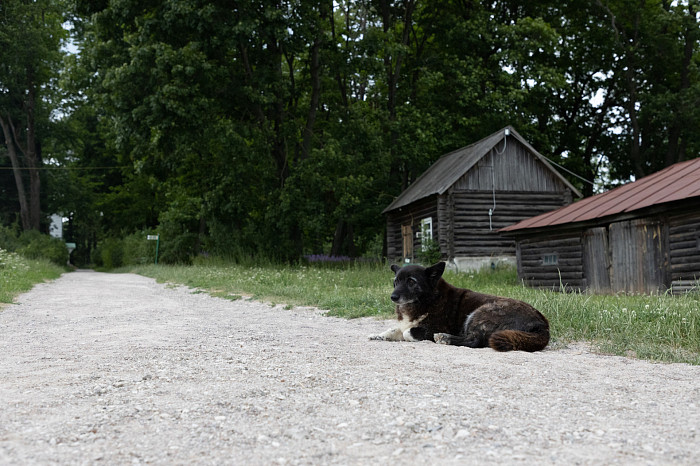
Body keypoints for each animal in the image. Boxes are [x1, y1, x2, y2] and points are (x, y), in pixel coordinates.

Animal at [370, 264, 548, 352]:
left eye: (411, 281)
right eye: (396, 282)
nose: (393, 297)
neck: (428, 298)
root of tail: (542, 325)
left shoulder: (432, 327)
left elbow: (407, 332)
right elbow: (395, 329)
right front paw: (379, 335)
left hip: (480, 312)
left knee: (476, 340)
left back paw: (445, 338)